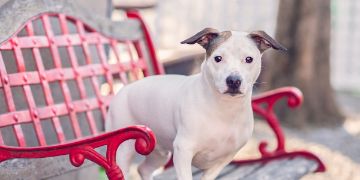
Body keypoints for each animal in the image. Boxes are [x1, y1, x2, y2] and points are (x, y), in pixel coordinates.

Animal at [105, 28, 286, 180]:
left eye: (249, 59)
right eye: (218, 58)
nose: (234, 80)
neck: (224, 109)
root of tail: (123, 90)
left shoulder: (223, 160)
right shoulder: (183, 151)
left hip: (160, 152)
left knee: (144, 169)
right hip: (125, 149)